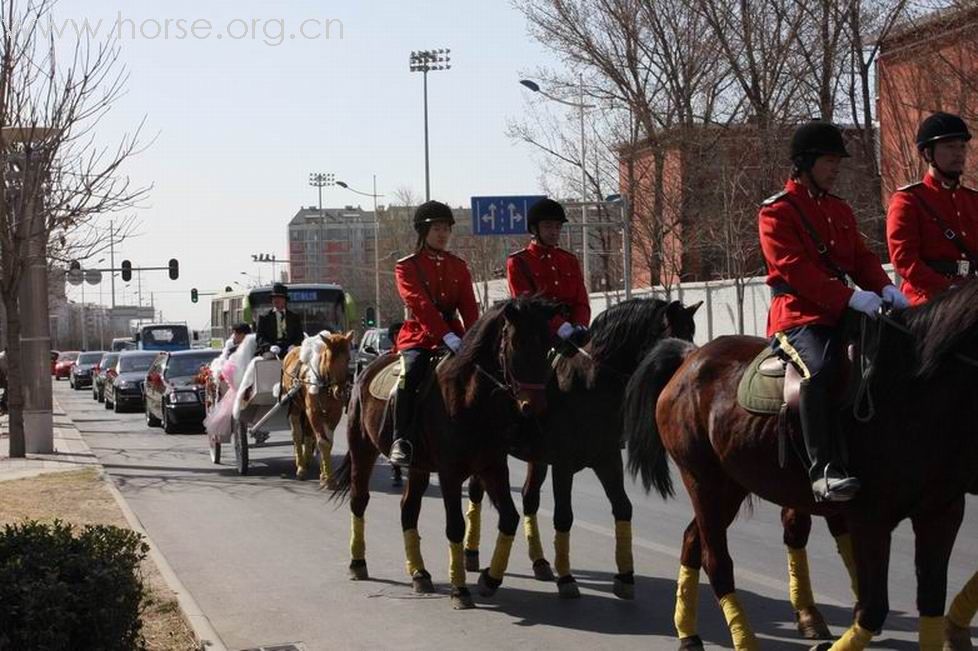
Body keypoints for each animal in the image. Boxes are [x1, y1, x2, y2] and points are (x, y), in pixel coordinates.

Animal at [280, 332, 352, 484]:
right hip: (295, 406)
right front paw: (327, 478)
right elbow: (322, 441)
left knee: (307, 432)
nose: (340, 391)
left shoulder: (334, 413)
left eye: (348, 358)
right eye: (329, 358)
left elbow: (328, 441)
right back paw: (301, 466)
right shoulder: (313, 412)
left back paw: (306, 459)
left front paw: (326, 474)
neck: (324, 384)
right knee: (297, 433)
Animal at [330, 300, 552, 612]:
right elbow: (455, 526)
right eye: (517, 343)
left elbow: (509, 517)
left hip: (419, 466)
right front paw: (460, 589)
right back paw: (358, 562)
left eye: (548, 344)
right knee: (359, 500)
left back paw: (419, 574)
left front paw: (489, 579)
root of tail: (363, 371)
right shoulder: (450, 473)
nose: (536, 408)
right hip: (363, 450)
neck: (470, 397)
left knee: (408, 508)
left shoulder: (493, 467)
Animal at [462, 298, 696, 600]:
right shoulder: (563, 464)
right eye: (671, 341)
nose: (685, 383)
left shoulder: (608, 459)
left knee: (529, 498)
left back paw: (540, 562)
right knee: (477, 491)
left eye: (691, 336)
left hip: (536, 458)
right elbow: (563, 516)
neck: (590, 384)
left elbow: (623, 507)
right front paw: (567, 578)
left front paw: (625, 576)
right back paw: (471, 553)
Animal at [620, 282, 976, 651]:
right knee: (716, 560)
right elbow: (873, 608)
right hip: (704, 482)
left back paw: (689, 632)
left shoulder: (941, 514)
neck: (910, 390)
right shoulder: (869, 519)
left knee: (694, 540)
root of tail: (690, 358)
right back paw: (745, 638)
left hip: (731, 487)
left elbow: (930, 601)